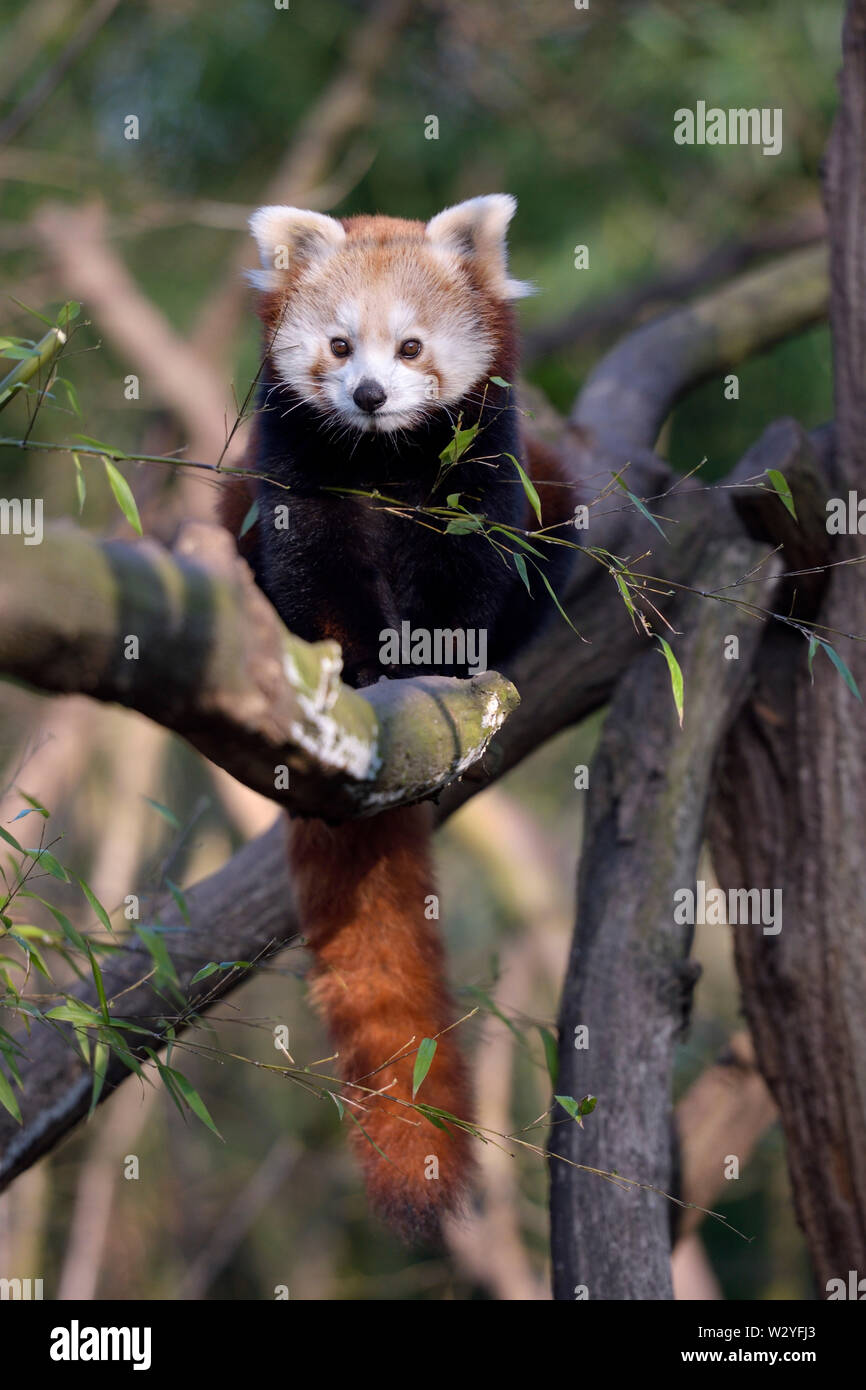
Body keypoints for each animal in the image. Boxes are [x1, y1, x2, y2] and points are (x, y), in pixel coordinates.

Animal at [219, 193, 578, 1239]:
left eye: (411, 346)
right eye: (339, 346)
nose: (371, 395)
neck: (382, 461)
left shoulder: (478, 475)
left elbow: (468, 573)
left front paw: (441, 662)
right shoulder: (293, 480)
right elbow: (315, 575)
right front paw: (356, 660)